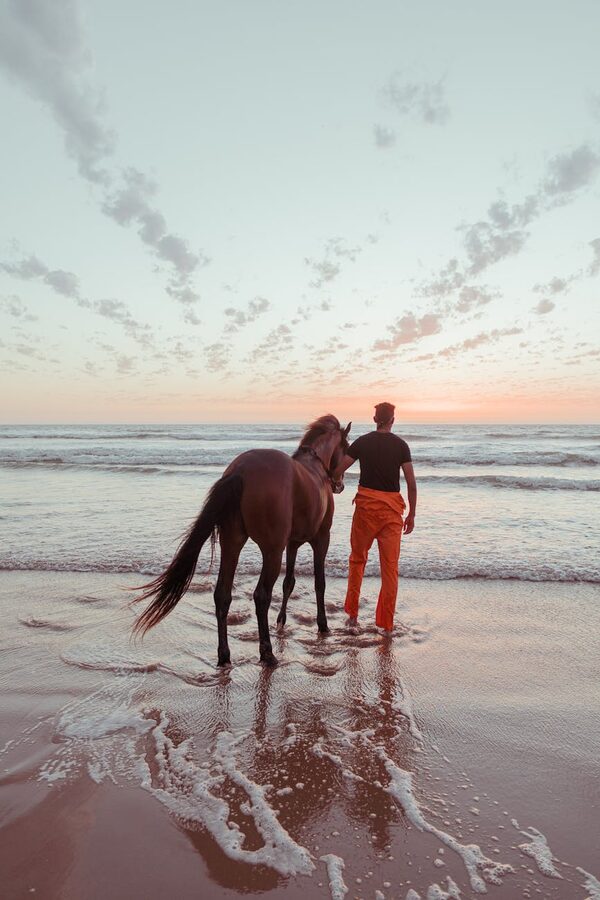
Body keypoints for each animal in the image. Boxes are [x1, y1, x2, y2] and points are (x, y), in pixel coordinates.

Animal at [132, 415, 351, 666]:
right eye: (346, 446)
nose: (339, 485)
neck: (314, 468)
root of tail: (242, 470)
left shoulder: (292, 543)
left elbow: (289, 582)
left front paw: (282, 619)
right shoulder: (321, 539)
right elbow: (319, 583)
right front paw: (322, 625)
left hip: (232, 544)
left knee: (222, 595)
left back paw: (224, 654)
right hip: (272, 551)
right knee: (261, 596)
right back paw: (267, 652)